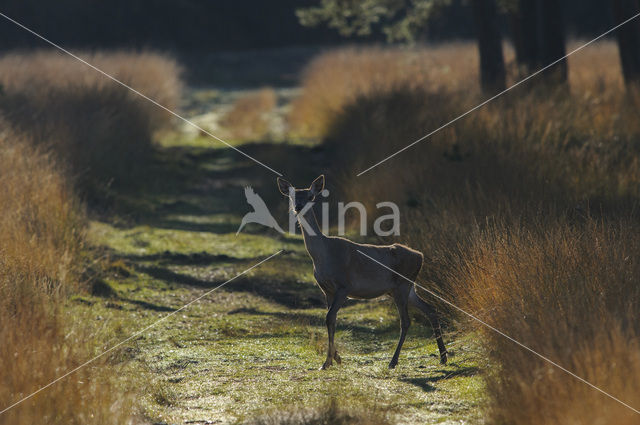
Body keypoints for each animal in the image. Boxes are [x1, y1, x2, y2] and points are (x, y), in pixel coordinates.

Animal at [278, 174, 448, 370]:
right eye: (292, 196)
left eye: (310, 196)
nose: (298, 207)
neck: (323, 256)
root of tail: (420, 256)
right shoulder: (326, 289)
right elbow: (331, 320)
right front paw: (335, 358)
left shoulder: (344, 286)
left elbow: (329, 317)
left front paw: (328, 361)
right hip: (406, 288)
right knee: (430, 310)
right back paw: (443, 357)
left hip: (402, 285)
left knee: (406, 321)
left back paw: (393, 361)